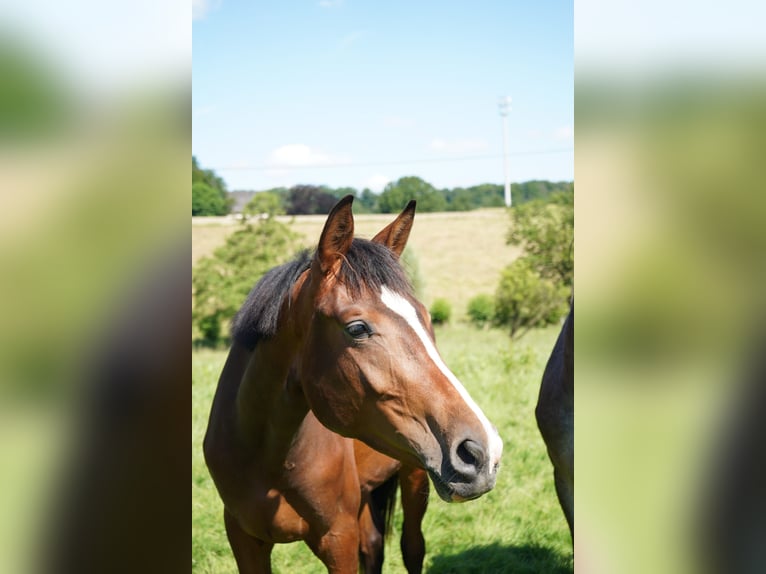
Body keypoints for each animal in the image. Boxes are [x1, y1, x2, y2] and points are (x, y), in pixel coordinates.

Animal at [204, 196, 504, 572]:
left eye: (426, 317)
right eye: (357, 328)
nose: (484, 452)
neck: (264, 455)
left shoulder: (338, 538)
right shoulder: (244, 539)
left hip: (414, 477)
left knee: (412, 547)